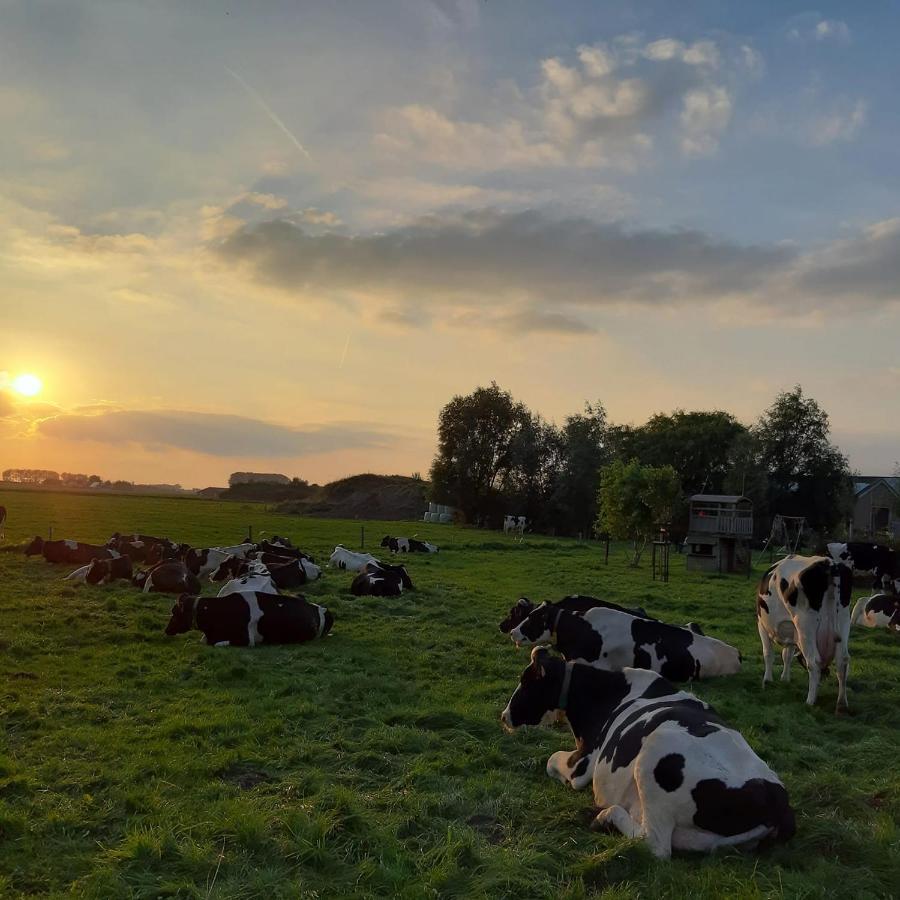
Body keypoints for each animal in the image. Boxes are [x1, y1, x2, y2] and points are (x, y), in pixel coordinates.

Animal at [500, 648, 796, 856]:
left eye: (526, 682)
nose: (504, 716)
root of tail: (776, 801)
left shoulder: (583, 763)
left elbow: (551, 760)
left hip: (656, 752)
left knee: (655, 845)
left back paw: (605, 816)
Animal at [752, 556, 852, 712]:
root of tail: (828, 563)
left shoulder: (762, 625)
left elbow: (768, 654)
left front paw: (767, 679)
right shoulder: (794, 634)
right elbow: (787, 655)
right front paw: (785, 678)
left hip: (805, 625)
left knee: (814, 662)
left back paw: (810, 701)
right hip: (844, 621)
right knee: (843, 662)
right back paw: (842, 703)